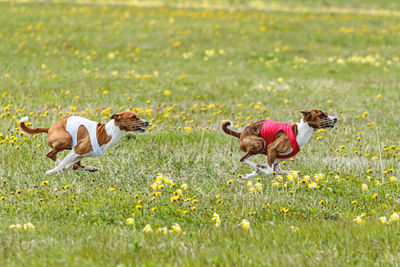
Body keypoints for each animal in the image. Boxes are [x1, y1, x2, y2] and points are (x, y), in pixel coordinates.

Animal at [19, 111, 149, 176]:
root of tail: (50, 128)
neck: (107, 132)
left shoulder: (78, 153)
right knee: (51, 155)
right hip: (67, 140)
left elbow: (72, 165)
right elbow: (62, 164)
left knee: (75, 165)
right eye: (134, 117)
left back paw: (90, 168)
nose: (147, 122)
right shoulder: (76, 151)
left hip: (77, 151)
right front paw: (52, 171)